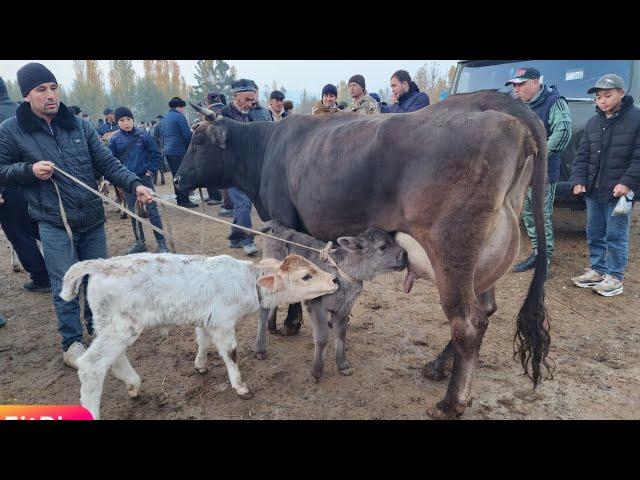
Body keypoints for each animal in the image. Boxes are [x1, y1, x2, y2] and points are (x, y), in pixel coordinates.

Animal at [60, 253, 338, 418]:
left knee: (113, 359)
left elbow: (203, 341)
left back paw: (133, 384)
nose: (335, 279)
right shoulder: (224, 323)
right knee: (91, 365)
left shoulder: (207, 320)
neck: (247, 283)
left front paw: (200, 365)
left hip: (111, 327)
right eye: (306, 276)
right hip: (120, 328)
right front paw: (240, 386)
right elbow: (230, 354)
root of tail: (101, 264)